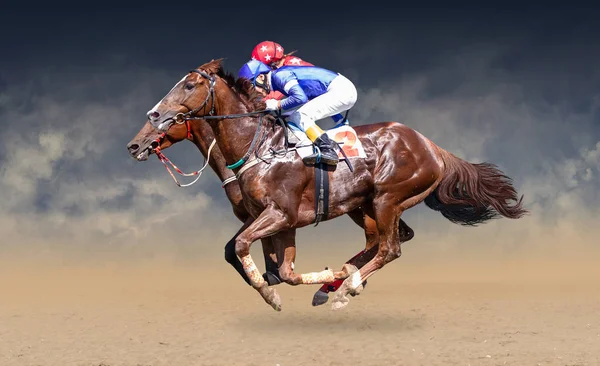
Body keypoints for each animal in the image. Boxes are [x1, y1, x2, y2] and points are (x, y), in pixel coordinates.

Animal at [138, 58, 528, 310]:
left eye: (189, 85)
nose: (152, 117)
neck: (259, 146)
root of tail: (432, 146)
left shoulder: (279, 214)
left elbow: (246, 249)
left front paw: (272, 292)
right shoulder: (276, 219)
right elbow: (277, 268)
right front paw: (291, 283)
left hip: (387, 199)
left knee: (390, 247)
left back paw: (345, 288)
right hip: (368, 205)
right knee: (390, 239)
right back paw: (337, 281)